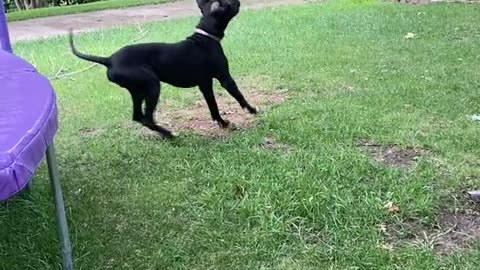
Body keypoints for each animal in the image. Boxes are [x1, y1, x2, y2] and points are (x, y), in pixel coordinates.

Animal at [69, 0, 256, 138]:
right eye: (228, 2)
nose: (238, 1)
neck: (204, 36)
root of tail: (109, 60)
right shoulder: (225, 78)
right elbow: (239, 96)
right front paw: (252, 110)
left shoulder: (205, 84)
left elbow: (213, 106)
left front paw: (222, 123)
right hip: (152, 86)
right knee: (147, 118)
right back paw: (170, 134)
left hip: (138, 91)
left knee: (138, 116)